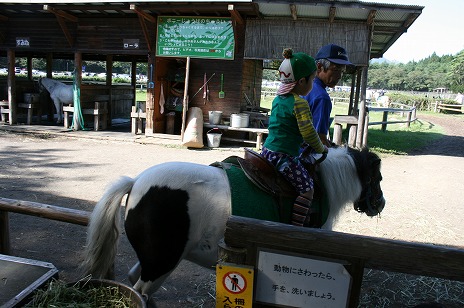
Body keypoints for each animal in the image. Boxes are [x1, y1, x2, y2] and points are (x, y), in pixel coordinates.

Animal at [81, 146, 386, 298]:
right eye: (378, 177)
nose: (380, 203)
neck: (322, 185)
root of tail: (135, 183)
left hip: (155, 260)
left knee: (136, 282)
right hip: (162, 261)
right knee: (140, 290)